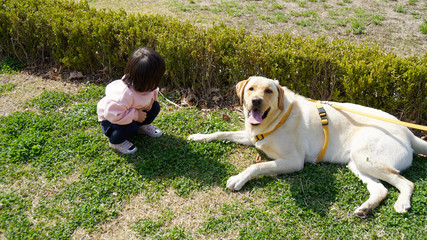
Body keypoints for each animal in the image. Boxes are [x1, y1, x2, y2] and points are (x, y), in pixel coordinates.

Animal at [190, 76, 427, 218]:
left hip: (366, 157)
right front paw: (199, 136)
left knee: (407, 182)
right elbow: (222, 133)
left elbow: (257, 166)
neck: (276, 119)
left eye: (268, 91)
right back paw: (365, 208)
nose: (255, 101)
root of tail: (408, 131)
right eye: (251, 89)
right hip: (357, 163)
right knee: (381, 190)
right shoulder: (252, 137)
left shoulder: (293, 161)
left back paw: (402, 203)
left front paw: (239, 178)